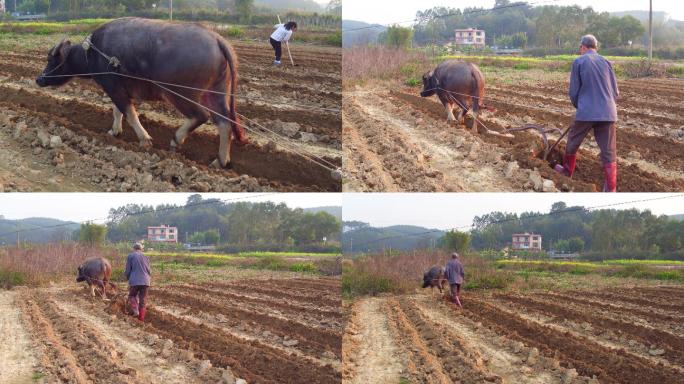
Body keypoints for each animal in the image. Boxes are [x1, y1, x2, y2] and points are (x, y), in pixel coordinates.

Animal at [36, 17, 246, 168]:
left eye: (51, 60)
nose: (39, 79)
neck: (92, 54)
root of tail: (217, 39)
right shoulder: (121, 88)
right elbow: (117, 111)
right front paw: (114, 131)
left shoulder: (113, 87)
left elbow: (128, 113)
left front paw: (145, 139)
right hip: (217, 93)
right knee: (225, 122)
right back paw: (220, 161)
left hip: (180, 93)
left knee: (201, 116)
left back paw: (176, 140)